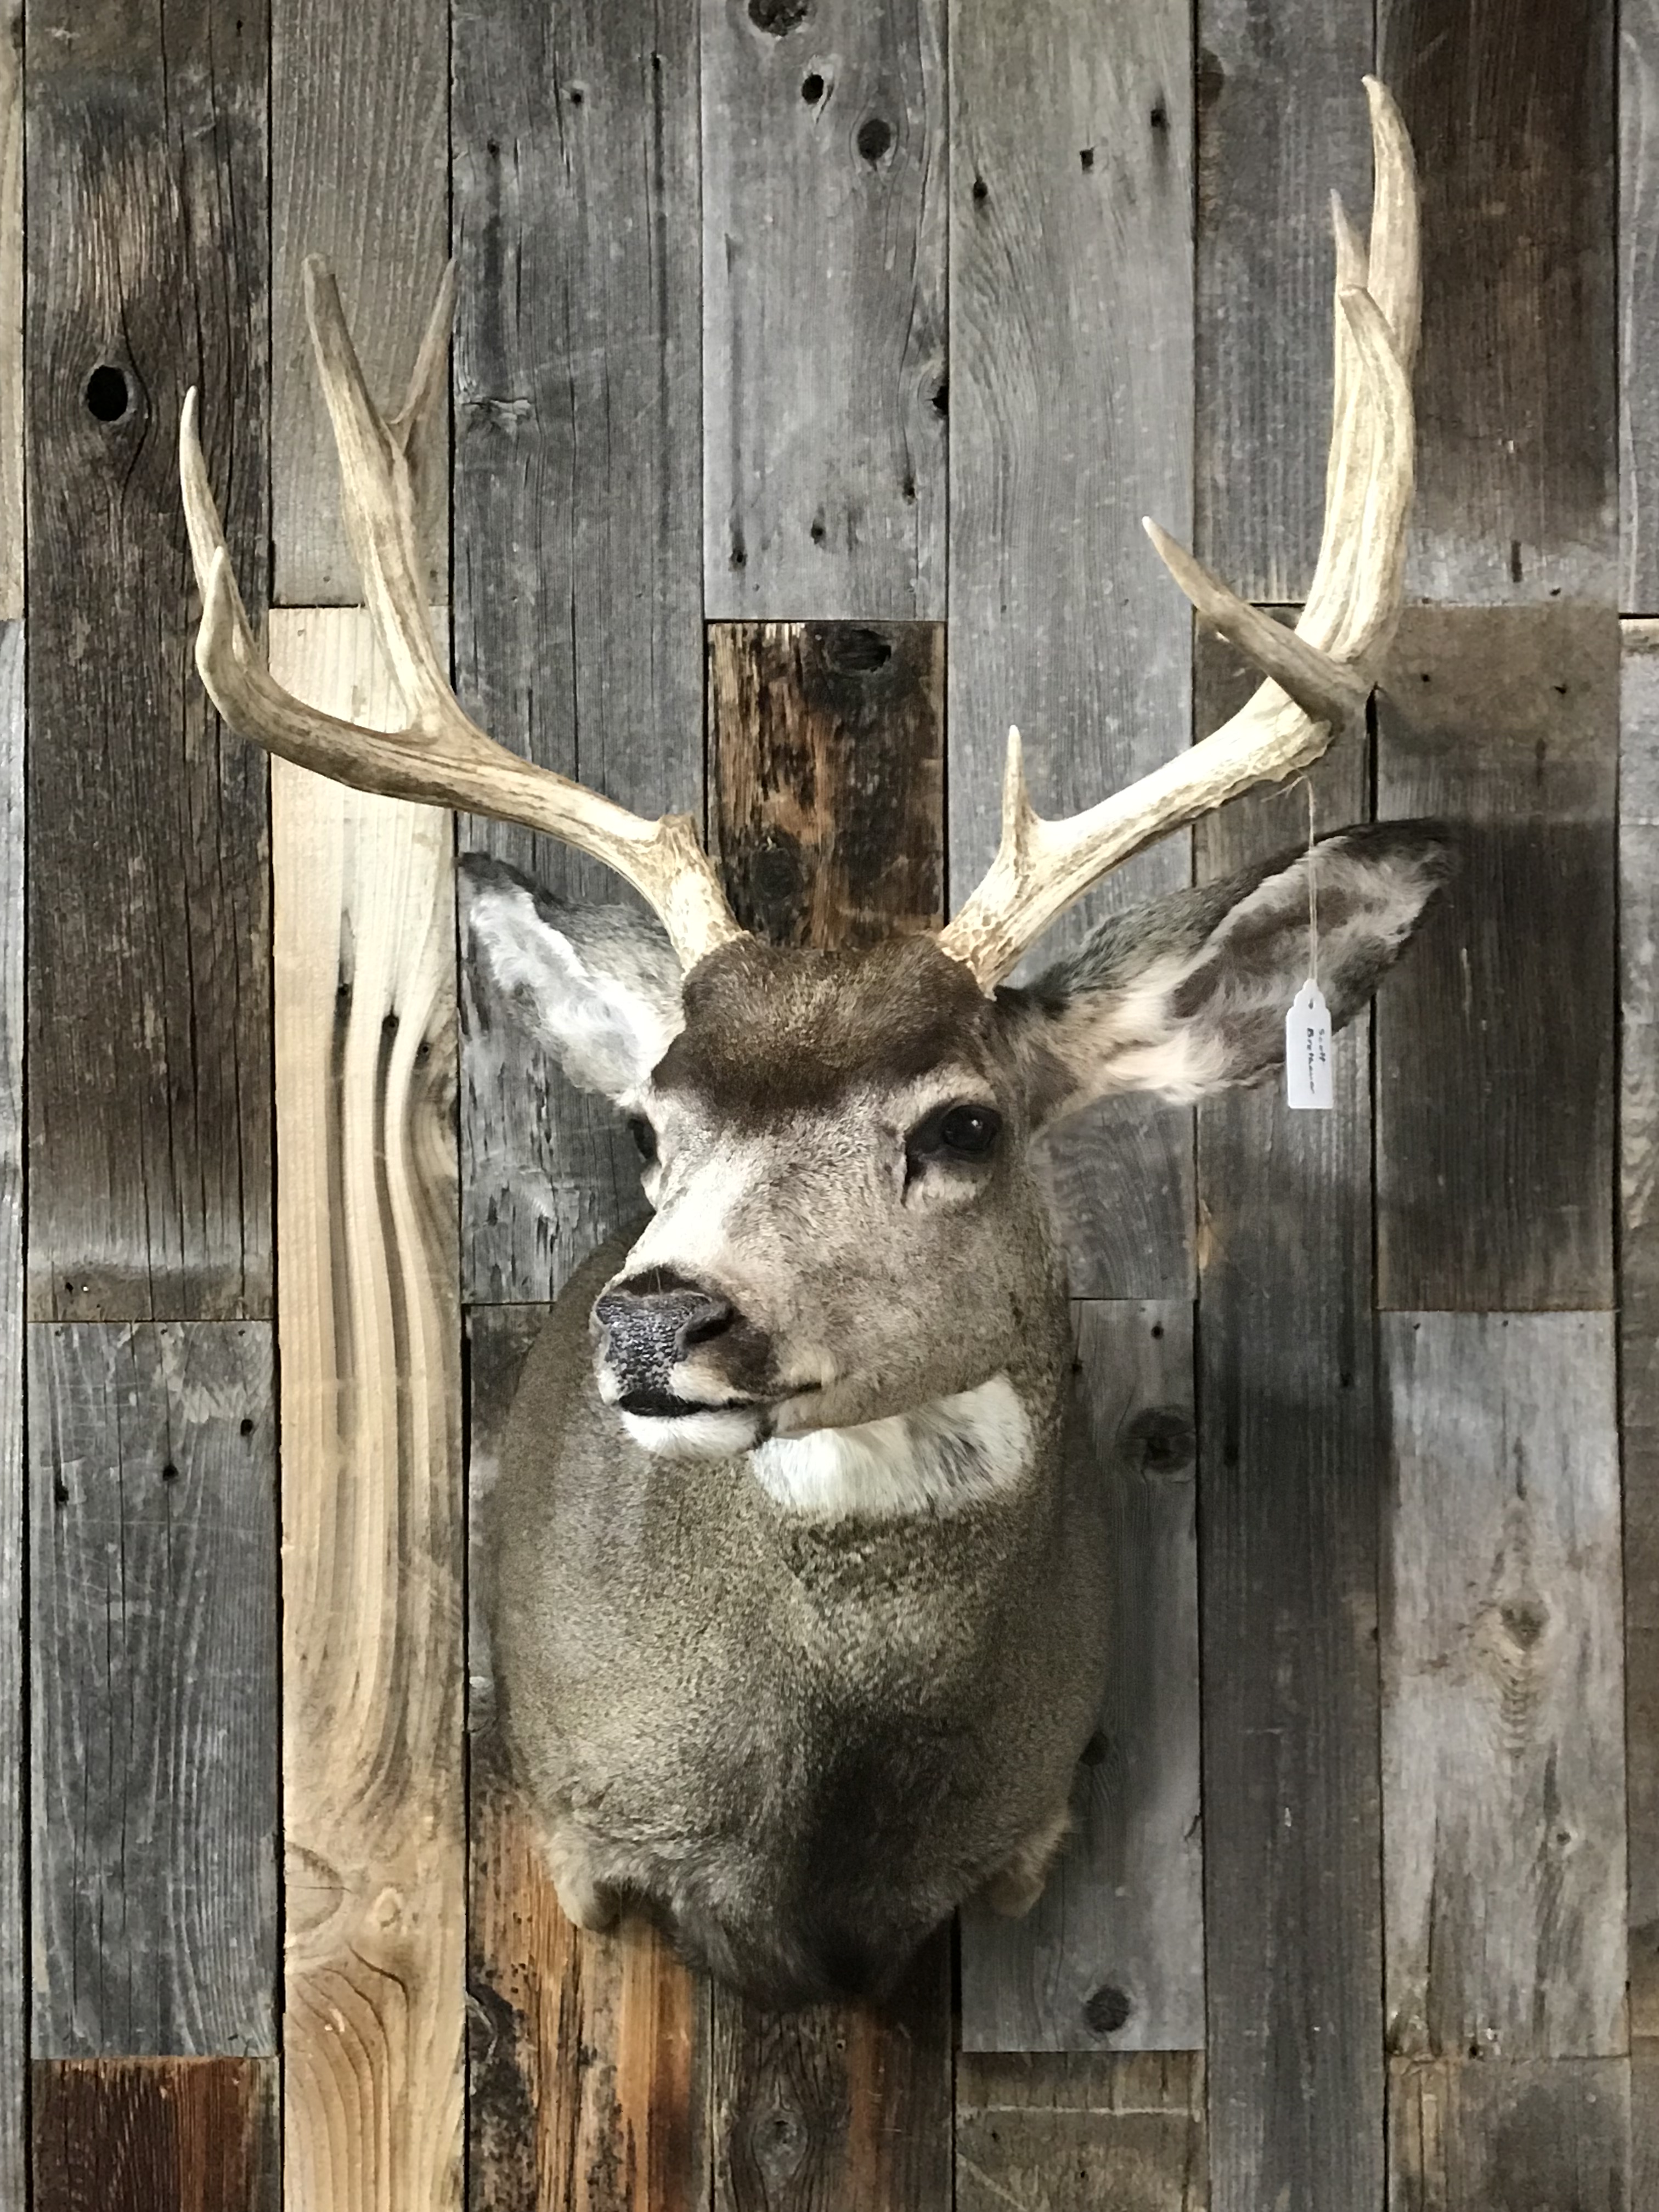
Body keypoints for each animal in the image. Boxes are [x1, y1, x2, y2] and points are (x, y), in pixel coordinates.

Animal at [180, 81, 1437, 2010]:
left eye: (965, 1126)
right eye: (650, 1130)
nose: (654, 1319)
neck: (815, 1856)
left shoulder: (1025, 1838)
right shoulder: (582, 1838)